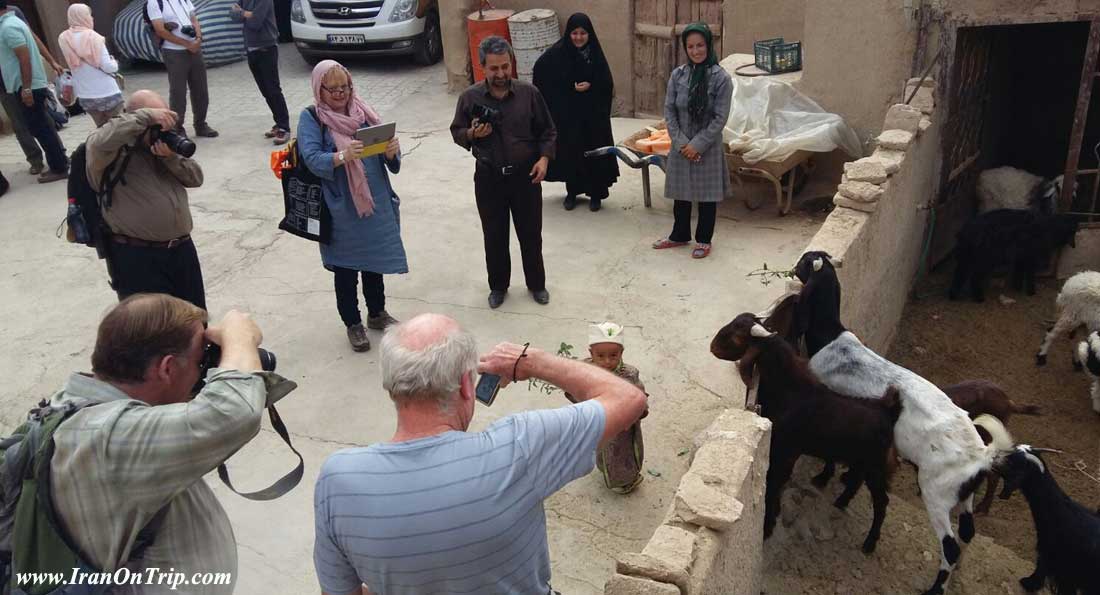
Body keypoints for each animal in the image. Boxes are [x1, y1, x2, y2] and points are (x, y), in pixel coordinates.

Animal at [712, 314, 902, 552]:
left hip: (875, 467)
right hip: (861, 461)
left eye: (738, 334)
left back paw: (869, 542)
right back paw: (841, 501)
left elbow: (774, 485)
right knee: (857, 480)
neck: (788, 390)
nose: (713, 346)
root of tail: (889, 411)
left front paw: (767, 526)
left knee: (881, 502)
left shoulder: (784, 452)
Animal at [950, 208, 1078, 301]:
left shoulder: (1020, 257)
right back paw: (978, 298)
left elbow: (1018, 273)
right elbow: (1029, 276)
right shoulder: (1030, 257)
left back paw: (953, 296)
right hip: (986, 260)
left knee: (959, 275)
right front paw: (1031, 292)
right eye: (1072, 233)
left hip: (967, 258)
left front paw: (1017, 288)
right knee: (974, 278)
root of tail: (966, 231)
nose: (1074, 245)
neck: (1048, 228)